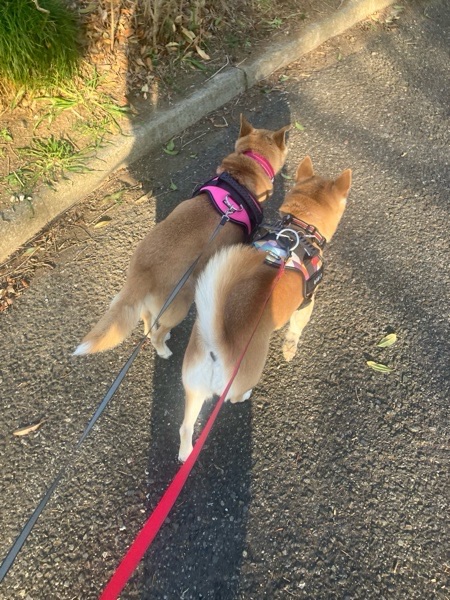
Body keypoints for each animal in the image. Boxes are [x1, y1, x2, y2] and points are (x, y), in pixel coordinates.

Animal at [73, 115, 290, 358]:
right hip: (179, 305)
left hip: (152, 306)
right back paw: (164, 350)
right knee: (157, 333)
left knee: (148, 322)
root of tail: (140, 273)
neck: (243, 171)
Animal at [178, 156, 351, 461]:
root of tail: (216, 346)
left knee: (186, 426)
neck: (301, 230)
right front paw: (290, 349)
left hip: (193, 387)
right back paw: (245, 396)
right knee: (234, 396)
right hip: (244, 376)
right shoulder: (307, 304)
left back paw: (186, 453)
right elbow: (295, 330)